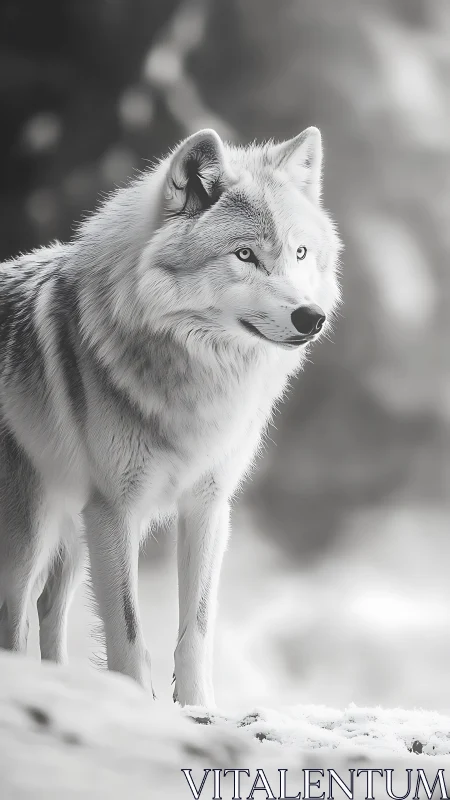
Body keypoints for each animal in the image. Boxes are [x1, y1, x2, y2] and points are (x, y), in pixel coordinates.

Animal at [0, 127, 341, 707]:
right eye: (245, 255)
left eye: (300, 253)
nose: (310, 317)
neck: (198, 379)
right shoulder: (114, 511)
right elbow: (129, 633)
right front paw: (139, 706)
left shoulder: (207, 506)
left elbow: (196, 628)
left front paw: (197, 708)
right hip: (32, 532)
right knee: (17, 617)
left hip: (68, 532)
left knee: (47, 612)